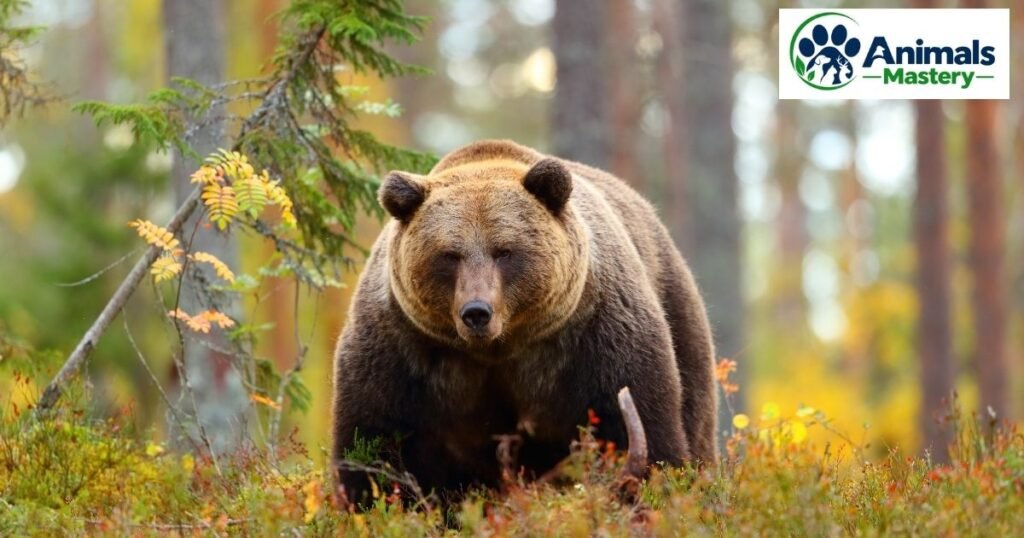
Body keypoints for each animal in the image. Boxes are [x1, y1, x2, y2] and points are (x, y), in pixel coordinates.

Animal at [331, 139, 717, 504]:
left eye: (504, 251)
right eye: (450, 254)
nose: (476, 311)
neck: (499, 348)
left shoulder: (596, 336)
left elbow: (639, 425)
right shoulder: (403, 351)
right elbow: (373, 442)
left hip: (677, 312)